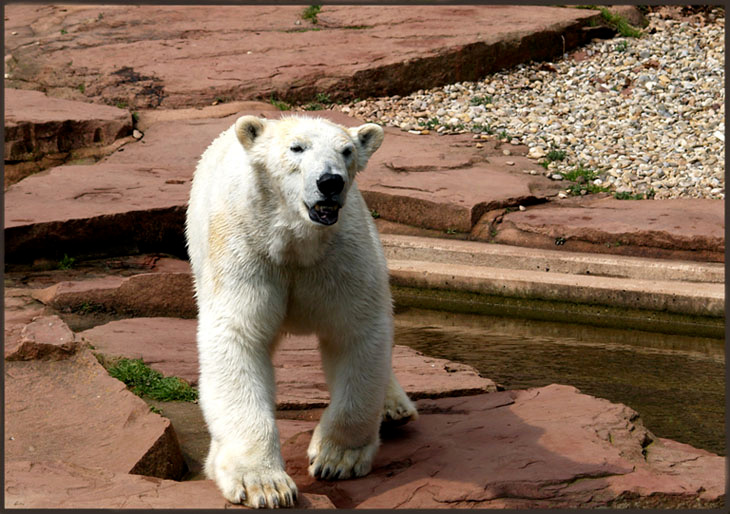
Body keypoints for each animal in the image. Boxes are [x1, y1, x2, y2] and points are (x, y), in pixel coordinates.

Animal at [185, 114, 418, 508]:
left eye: (346, 150)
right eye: (297, 148)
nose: (330, 182)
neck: (293, 240)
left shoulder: (342, 257)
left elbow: (357, 333)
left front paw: (337, 459)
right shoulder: (245, 254)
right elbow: (239, 339)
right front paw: (264, 484)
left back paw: (394, 407)